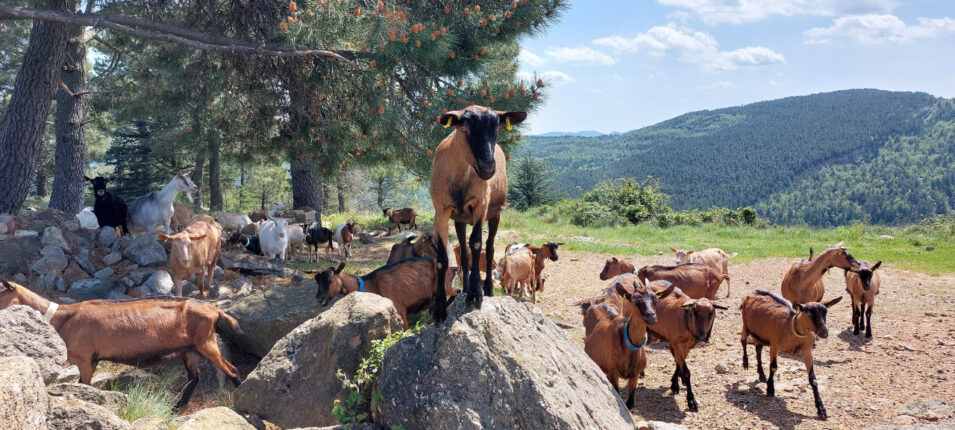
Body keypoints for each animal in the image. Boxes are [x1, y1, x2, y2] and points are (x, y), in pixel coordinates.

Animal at [4, 280, 243, 408]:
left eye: (0, 291)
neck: (63, 318)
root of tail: (215, 310)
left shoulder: (85, 359)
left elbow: (84, 386)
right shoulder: (91, 361)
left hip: (206, 343)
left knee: (232, 369)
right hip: (190, 351)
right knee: (194, 377)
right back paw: (176, 408)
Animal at [312, 258, 458, 330]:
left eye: (329, 280)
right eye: (317, 281)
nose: (319, 299)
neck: (369, 284)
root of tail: (452, 268)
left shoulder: (400, 310)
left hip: (445, 287)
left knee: (457, 292)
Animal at [430, 104, 528, 320]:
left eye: (497, 127)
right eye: (464, 128)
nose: (488, 167)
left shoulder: (480, 206)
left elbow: (476, 243)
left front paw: (476, 294)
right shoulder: (441, 211)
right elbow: (441, 258)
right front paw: (440, 308)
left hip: (495, 214)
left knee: (489, 249)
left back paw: (488, 289)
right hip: (459, 219)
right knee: (464, 253)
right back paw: (465, 288)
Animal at [580, 278, 676, 406]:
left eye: (655, 299)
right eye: (634, 300)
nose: (651, 316)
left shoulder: (634, 375)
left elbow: (630, 404)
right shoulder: (612, 372)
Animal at [744, 288, 840, 420]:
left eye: (825, 312)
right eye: (808, 312)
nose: (824, 332)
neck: (792, 327)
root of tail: (754, 292)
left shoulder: (807, 351)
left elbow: (813, 379)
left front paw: (821, 409)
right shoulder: (774, 346)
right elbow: (773, 367)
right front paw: (770, 389)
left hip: (759, 335)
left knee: (758, 350)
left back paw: (761, 375)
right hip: (745, 326)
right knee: (743, 342)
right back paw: (745, 363)